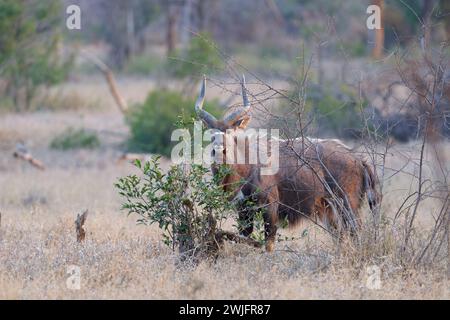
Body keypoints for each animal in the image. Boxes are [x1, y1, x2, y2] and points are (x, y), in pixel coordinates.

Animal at [194, 75, 380, 252]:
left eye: (231, 133)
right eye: (211, 134)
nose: (218, 151)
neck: (249, 166)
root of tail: (358, 160)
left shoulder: (270, 208)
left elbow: (268, 245)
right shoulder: (244, 211)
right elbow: (244, 238)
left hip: (347, 206)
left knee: (356, 232)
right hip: (331, 211)